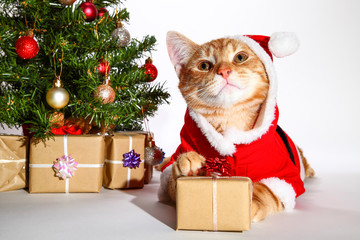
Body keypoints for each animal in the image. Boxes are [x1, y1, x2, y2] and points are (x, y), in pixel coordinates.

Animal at [160, 31, 316, 222]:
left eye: (240, 57)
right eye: (204, 65)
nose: (224, 71)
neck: (230, 119)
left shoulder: (285, 176)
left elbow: (268, 189)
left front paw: (252, 200)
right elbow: (171, 180)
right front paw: (186, 166)